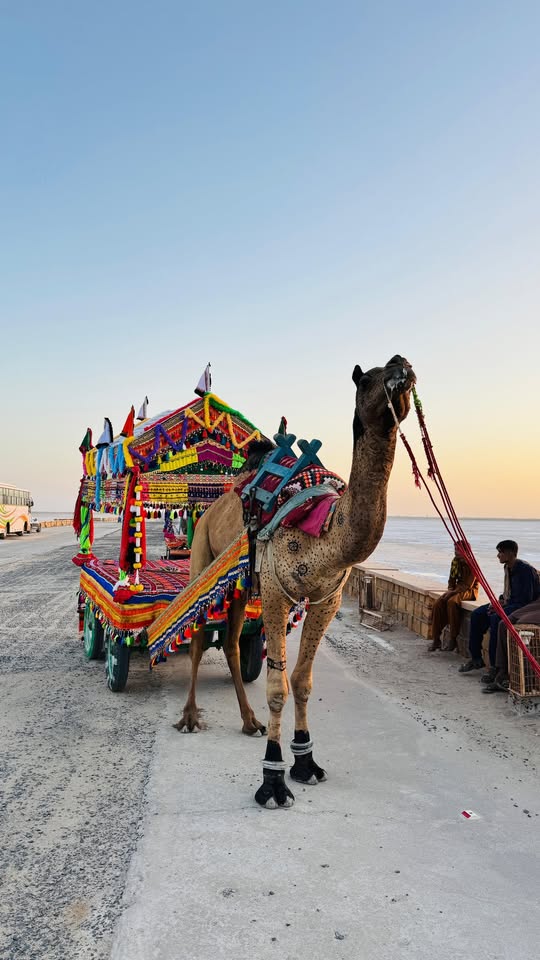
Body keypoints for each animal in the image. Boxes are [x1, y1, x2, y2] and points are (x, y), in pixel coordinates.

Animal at [175, 356, 416, 808]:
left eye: (399, 365)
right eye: (367, 379)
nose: (402, 367)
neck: (322, 527)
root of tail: (210, 507)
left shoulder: (327, 599)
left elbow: (302, 682)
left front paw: (306, 762)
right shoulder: (275, 592)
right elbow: (277, 687)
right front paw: (272, 781)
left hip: (240, 586)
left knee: (231, 641)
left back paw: (249, 721)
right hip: (202, 556)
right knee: (197, 635)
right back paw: (189, 717)